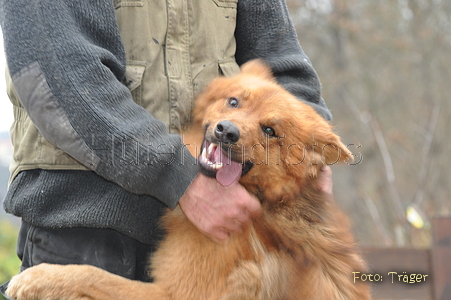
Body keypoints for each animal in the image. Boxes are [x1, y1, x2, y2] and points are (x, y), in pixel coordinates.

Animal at [6, 61, 370, 300]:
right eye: (234, 101)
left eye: (270, 131)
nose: (226, 131)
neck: (264, 207)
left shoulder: (176, 294)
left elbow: (94, 275)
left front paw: (38, 279)